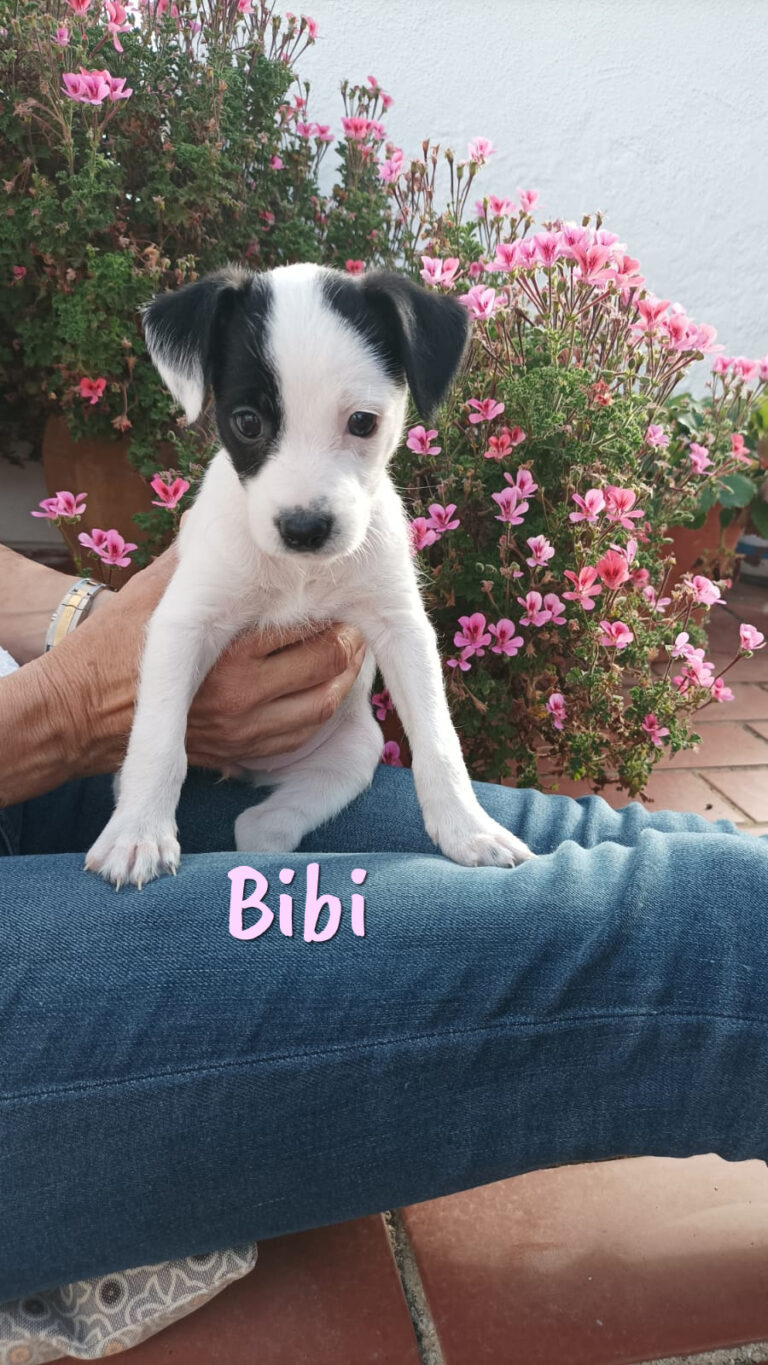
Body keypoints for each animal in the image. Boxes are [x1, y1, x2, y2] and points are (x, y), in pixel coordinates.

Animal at [85, 263, 535, 887]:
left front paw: (469, 830)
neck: (297, 571)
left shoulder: (402, 628)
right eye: (247, 421)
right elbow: (158, 741)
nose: (304, 529)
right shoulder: (184, 624)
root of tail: (247, 768)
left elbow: (439, 740)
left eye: (363, 422)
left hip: (354, 751)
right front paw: (138, 834)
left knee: (259, 824)